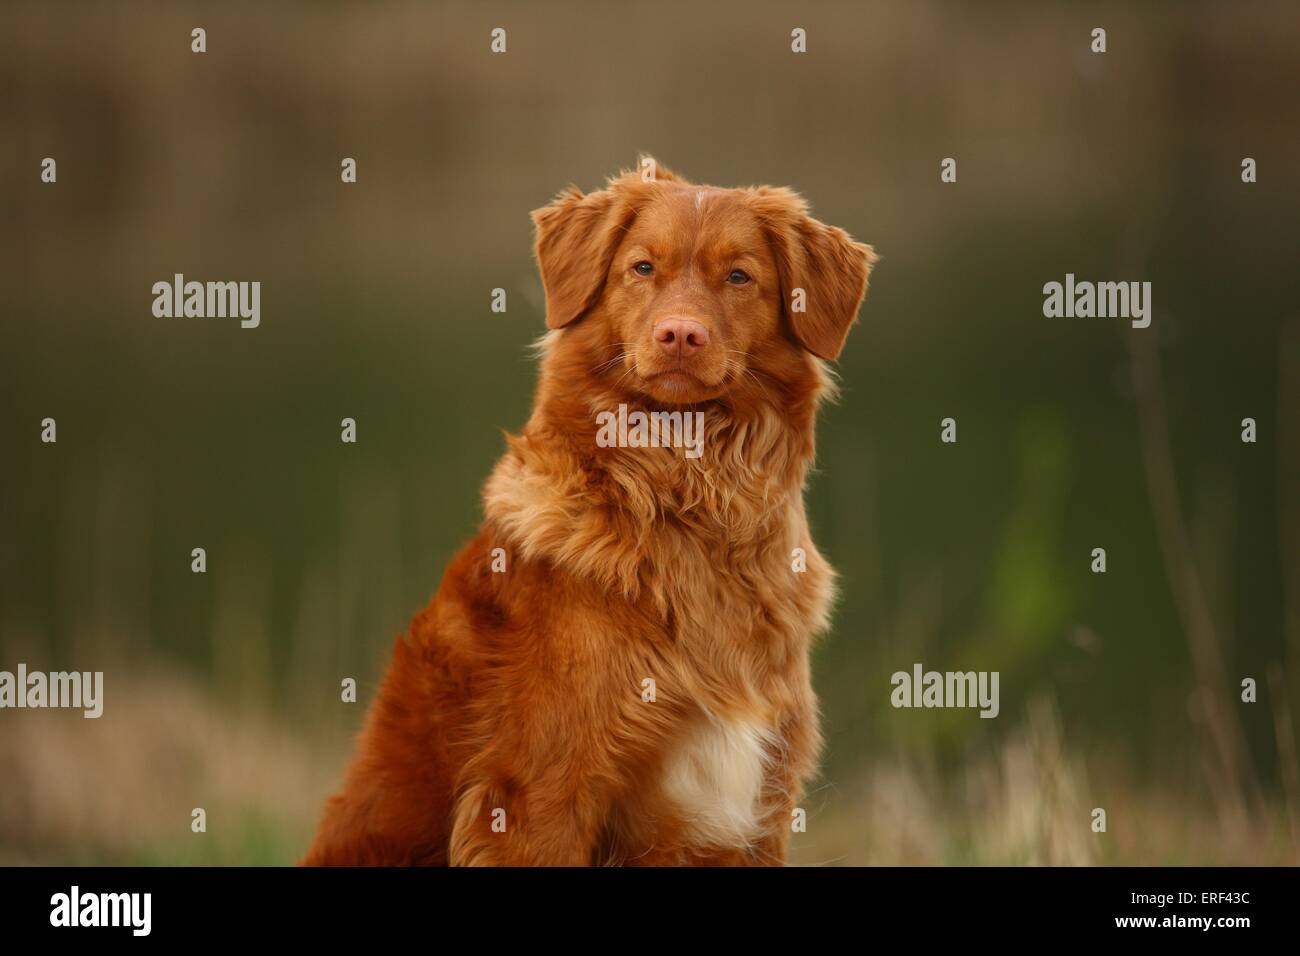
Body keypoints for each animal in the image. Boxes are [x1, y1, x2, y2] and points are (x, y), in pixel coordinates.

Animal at [301, 162, 873, 868]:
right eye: (643, 267)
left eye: (739, 277)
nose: (680, 335)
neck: (691, 495)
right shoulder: (537, 797)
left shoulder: (760, 804)